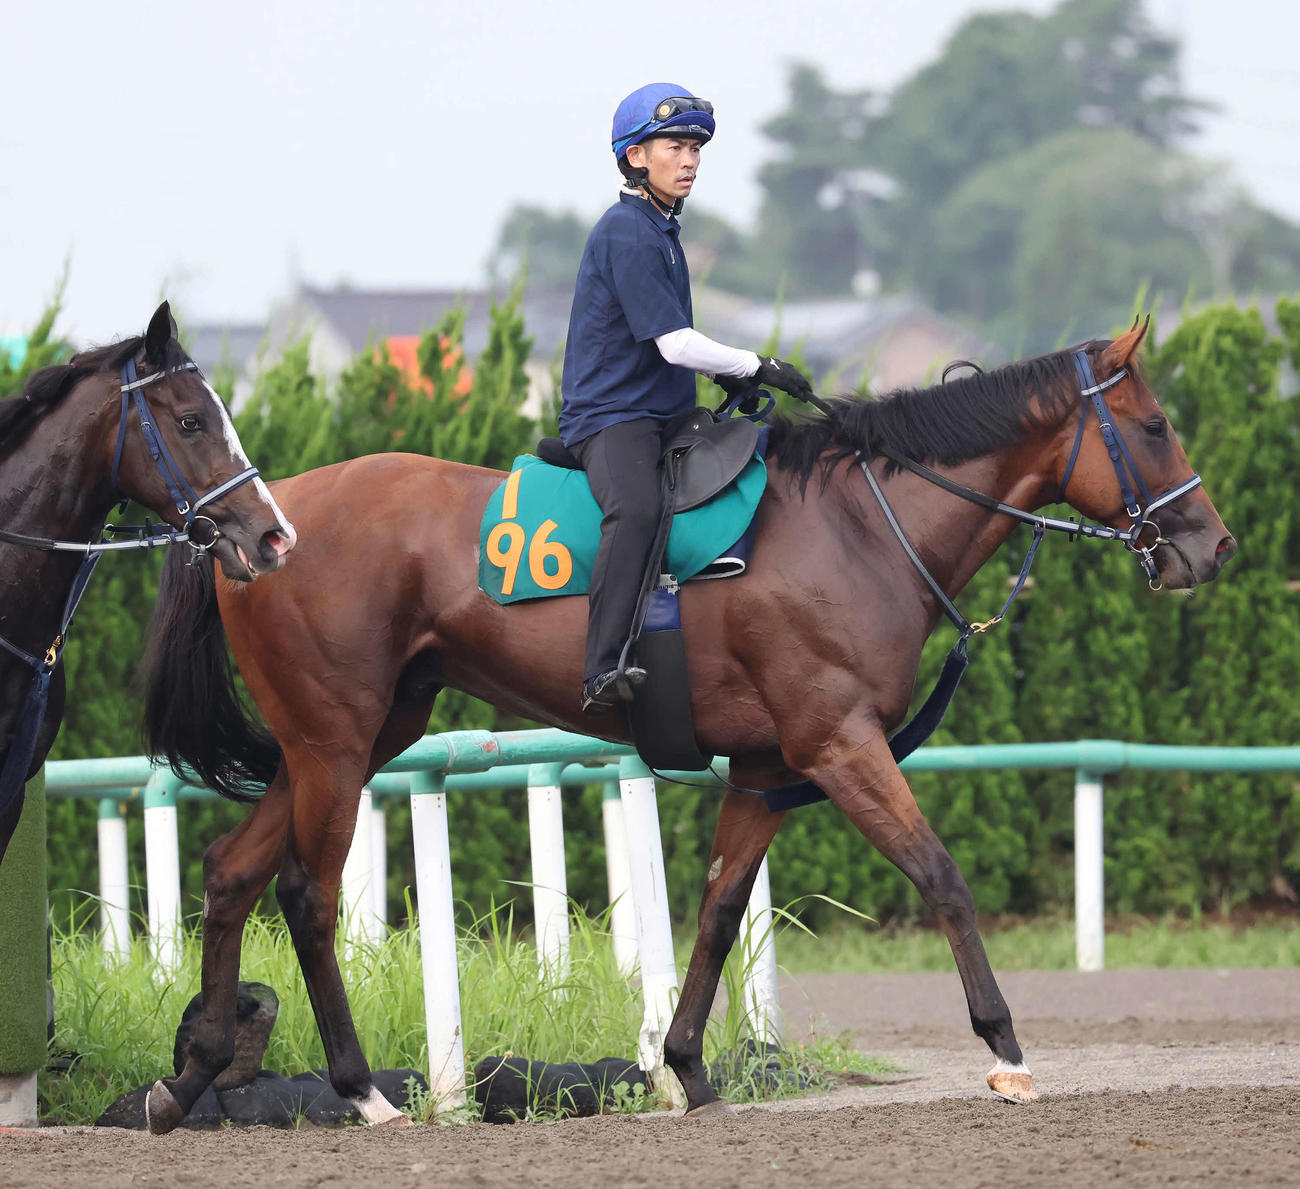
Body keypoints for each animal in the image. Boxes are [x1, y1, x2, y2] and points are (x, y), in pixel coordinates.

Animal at [140, 320, 1234, 1132]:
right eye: (1154, 426)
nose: (1212, 546)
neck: (859, 528)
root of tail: (259, 523)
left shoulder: (761, 765)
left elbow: (716, 908)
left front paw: (687, 1068)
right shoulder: (839, 744)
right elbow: (940, 875)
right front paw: (1005, 1048)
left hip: (350, 739)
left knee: (233, 875)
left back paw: (188, 1080)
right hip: (336, 744)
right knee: (307, 894)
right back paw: (361, 1088)